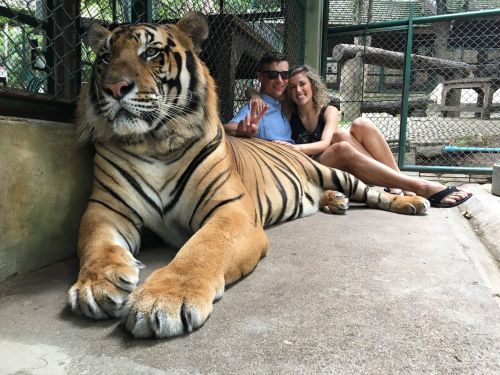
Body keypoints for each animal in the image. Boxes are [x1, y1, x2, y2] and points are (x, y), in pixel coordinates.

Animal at [69, 12, 430, 340]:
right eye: (105, 57)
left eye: (151, 52)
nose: (114, 87)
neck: (154, 142)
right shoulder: (105, 209)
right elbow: (96, 245)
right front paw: (97, 285)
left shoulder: (232, 210)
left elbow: (202, 248)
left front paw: (164, 299)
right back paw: (335, 201)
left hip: (332, 170)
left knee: (372, 190)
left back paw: (414, 200)